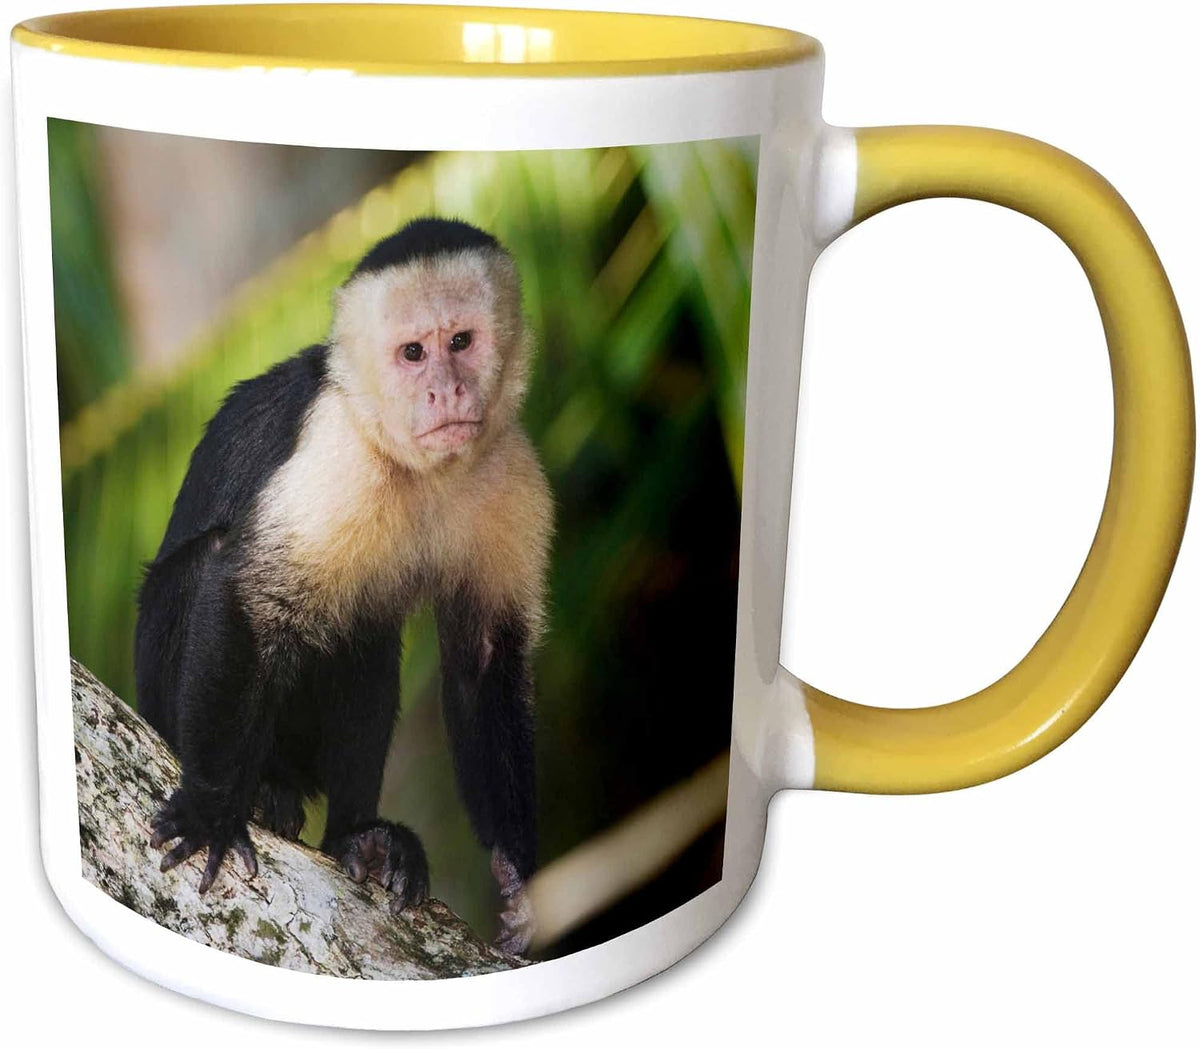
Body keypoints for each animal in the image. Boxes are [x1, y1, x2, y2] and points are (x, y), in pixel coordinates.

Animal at [134, 217, 552, 954]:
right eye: (413, 353)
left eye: (461, 341)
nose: (445, 391)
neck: (415, 463)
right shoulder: (335, 451)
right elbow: (246, 594)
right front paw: (211, 810)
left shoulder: (511, 466)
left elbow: (484, 663)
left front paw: (514, 874)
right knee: (217, 567)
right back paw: (260, 790)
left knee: (366, 635)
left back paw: (359, 838)